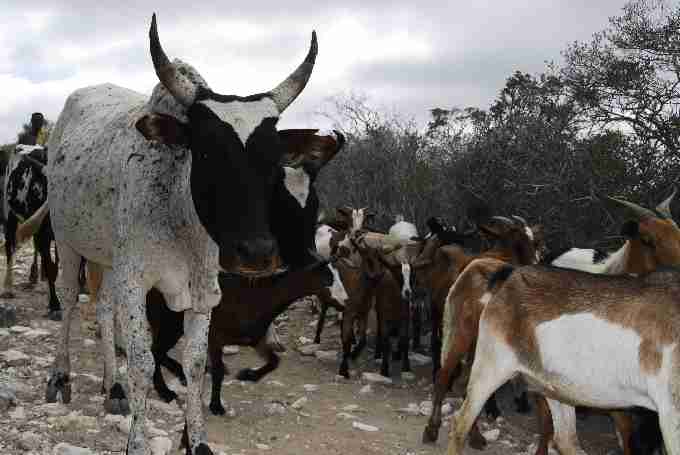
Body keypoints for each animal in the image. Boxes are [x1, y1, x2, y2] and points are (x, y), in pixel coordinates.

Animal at [45, 14, 318, 455]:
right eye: (207, 151)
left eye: (274, 162)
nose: (256, 252)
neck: (181, 219)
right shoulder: (136, 282)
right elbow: (142, 360)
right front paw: (137, 443)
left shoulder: (203, 290)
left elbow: (196, 363)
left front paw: (198, 440)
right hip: (67, 238)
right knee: (70, 299)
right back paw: (60, 376)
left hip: (109, 256)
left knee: (102, 307)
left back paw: (112, 386)